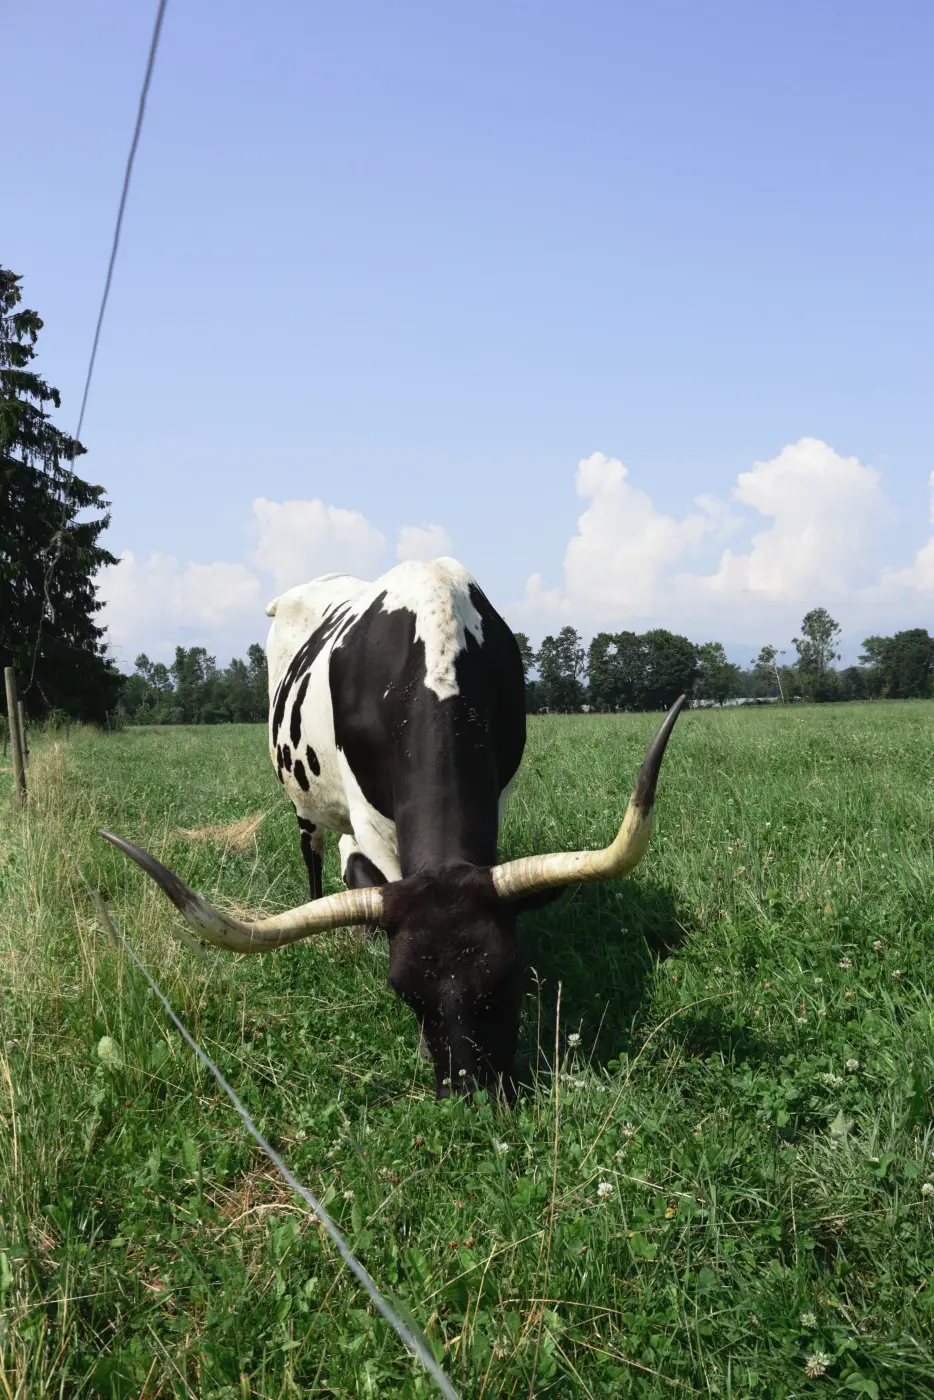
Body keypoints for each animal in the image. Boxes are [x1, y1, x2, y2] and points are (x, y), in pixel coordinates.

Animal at [101, 557, 684, 1099]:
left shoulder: (498, 793)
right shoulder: (372, 821)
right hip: (302, 798)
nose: (471, 1092)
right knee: (314, 852)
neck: (437, 652)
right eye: (405, 992)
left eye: (507, 975)